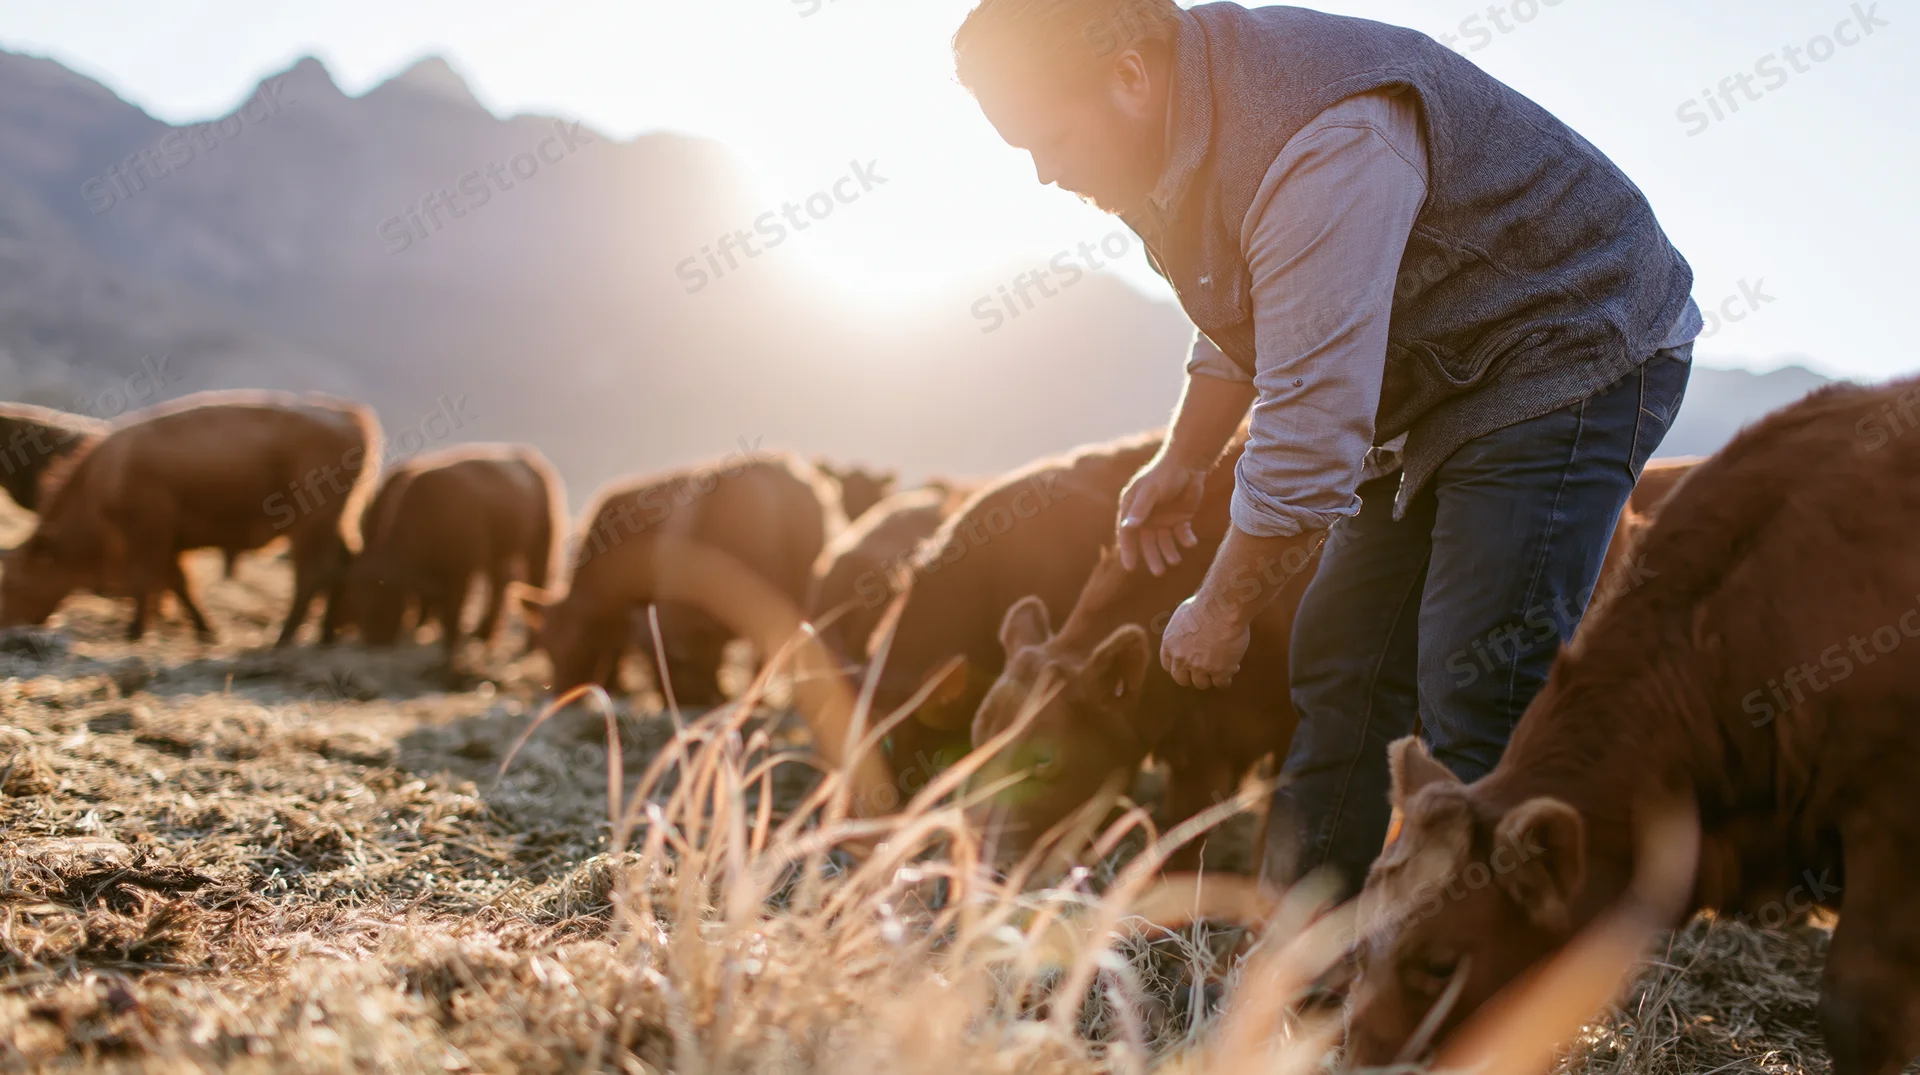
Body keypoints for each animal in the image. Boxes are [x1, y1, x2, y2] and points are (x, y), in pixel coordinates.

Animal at [0, 392, 379, 645]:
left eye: (12, 582)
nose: (6, 625)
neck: (103, 478)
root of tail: (349, 414)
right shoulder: (169, 543)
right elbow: (178, 584)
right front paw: (204, 628)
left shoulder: (149, 532)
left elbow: (148, 581)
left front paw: (136, 631)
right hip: (335, 524)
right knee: (341, 567)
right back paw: (325, 635)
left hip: (312, 524)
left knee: (313, 574)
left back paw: (284, 638)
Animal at [343, 445, 561, 663]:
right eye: (356, 600)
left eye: (381, 601)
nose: (375, 642)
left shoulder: (461, 572)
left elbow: (453, 610)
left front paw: (450, 647)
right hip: (498, 556)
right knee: (499, 585)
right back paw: (483, 634)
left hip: (540, 546)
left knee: (535, 585)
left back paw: (529, 645)